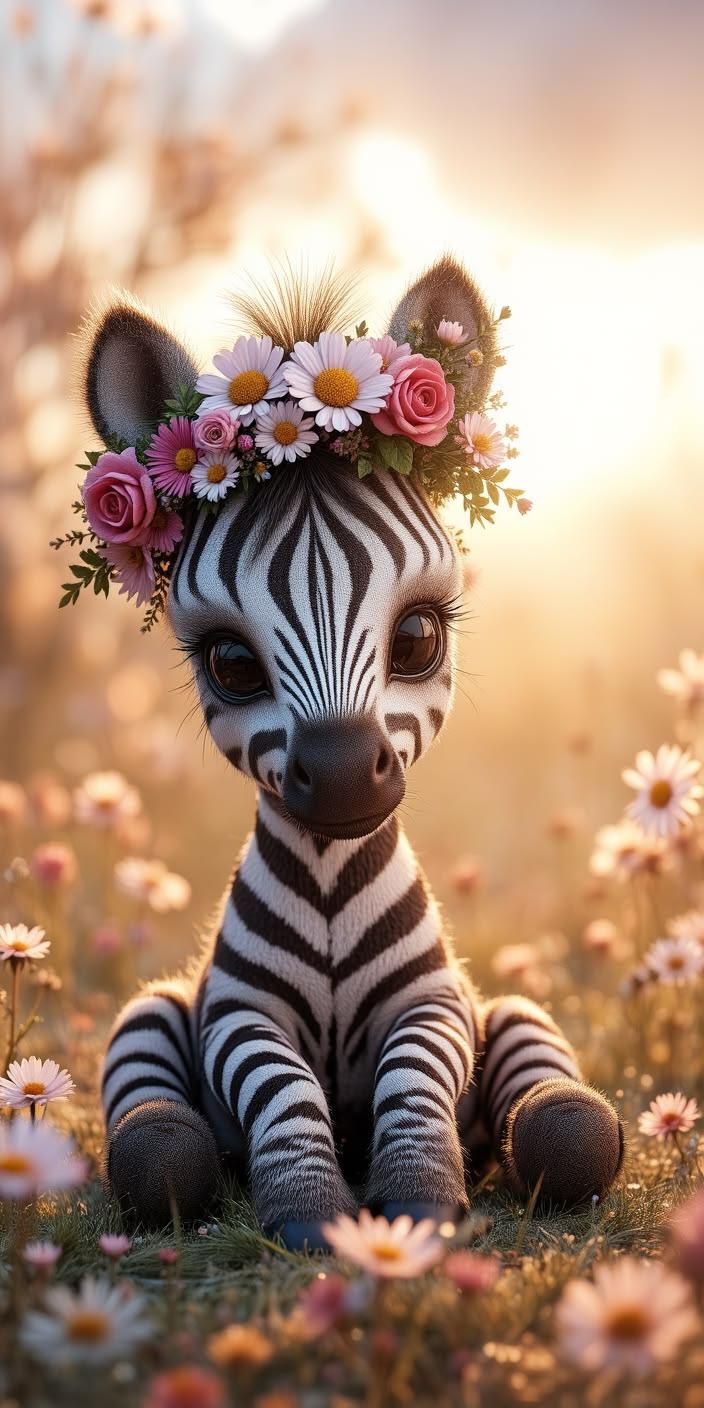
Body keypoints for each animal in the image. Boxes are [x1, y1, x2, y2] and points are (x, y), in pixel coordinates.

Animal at [85, 257, 623, 1247]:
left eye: (417, 637)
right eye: (229, 663)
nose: (337, 777)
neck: (334, 882)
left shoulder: (436, 1004)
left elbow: (416, 1073)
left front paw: (416, 1195)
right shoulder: (238, 1015)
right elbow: (279, 1086)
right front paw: (307, 1207)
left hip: (509, 1014)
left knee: (554, 1097)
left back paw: (562, 1117)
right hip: (158, 1011)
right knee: (151, 1116)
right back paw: (164, 1140)